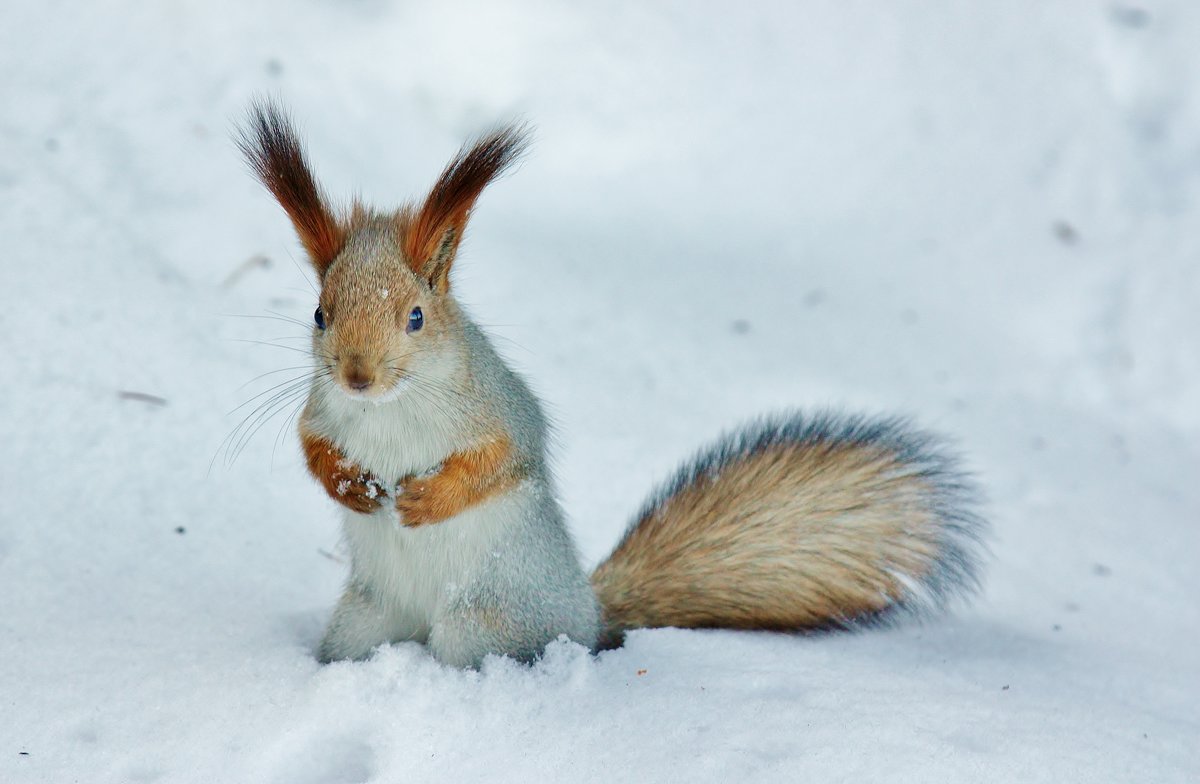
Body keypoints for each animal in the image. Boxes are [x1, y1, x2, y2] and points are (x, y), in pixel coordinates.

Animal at [238, 100, 988, 667]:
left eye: (415, 317)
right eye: (319, 314)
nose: (358, 375)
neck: (389, 409)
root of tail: (588, 613)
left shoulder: (496, 407)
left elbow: (504, 459)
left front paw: (427, 499)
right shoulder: (323, 409)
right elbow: (310, 445)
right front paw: (347, 485)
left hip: (480, 624)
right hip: (362, 625)